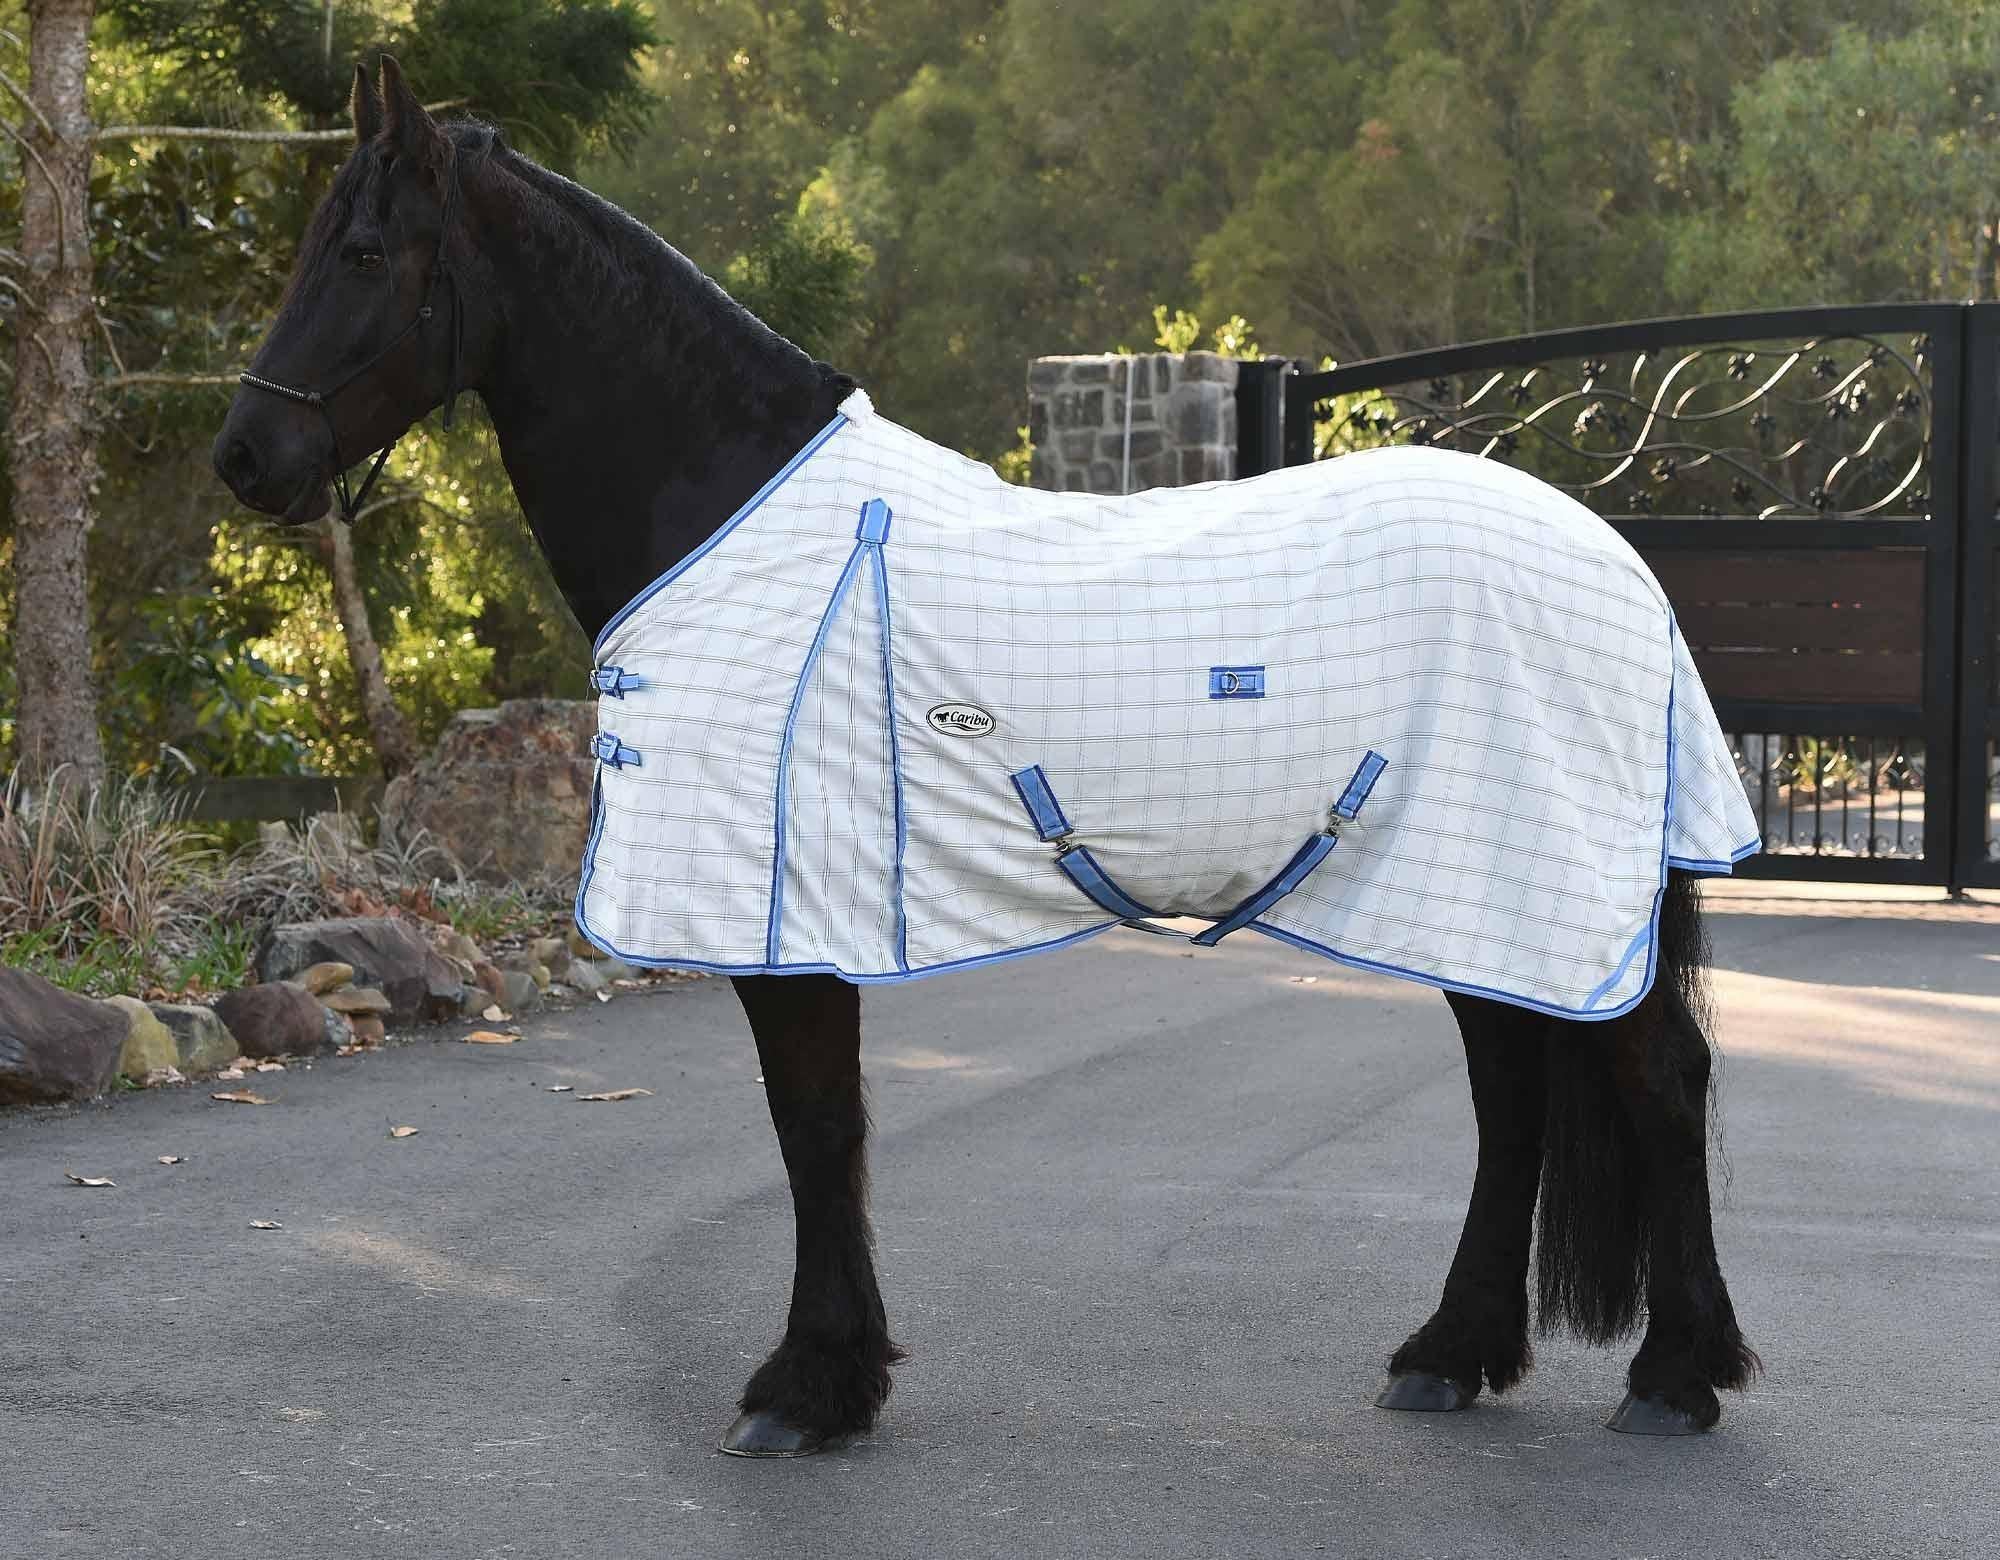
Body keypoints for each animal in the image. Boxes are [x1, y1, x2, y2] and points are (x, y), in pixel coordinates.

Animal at [213, 58, 1759, 1457]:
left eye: (363, 251)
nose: (244, 458)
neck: (733, 510)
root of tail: (1612, 558)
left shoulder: (784, 918)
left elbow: (814, 1128)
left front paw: (806, 1390)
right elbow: (826, 1130)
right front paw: (838, 1377)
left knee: (1655, 1081)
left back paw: (1673, 1379)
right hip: (1458, 887)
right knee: (1513, 1097)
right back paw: (1451, 1357)